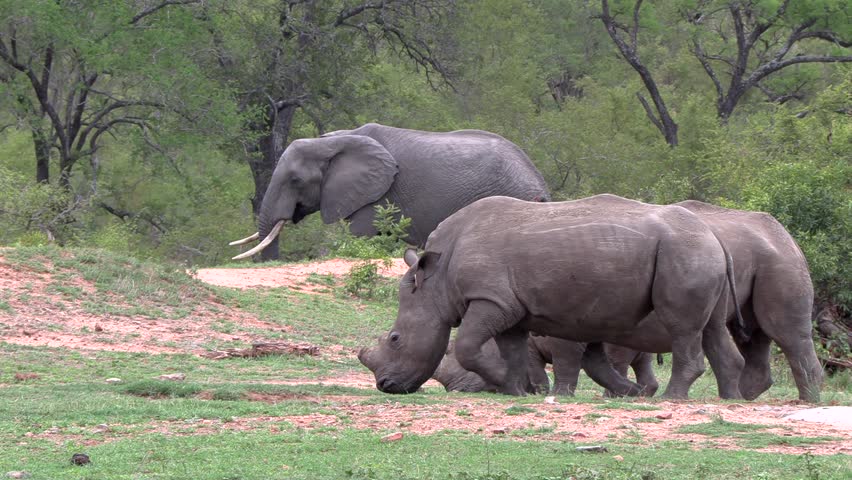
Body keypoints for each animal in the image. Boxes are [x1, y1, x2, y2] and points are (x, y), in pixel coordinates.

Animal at [359, 194, 746, 399]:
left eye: (395, 339)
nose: (386, 386)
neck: (436, 279)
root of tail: (715, 236)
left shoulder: (489, 298)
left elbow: (469, 345)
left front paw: (509, 385)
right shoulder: (509, 307)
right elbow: (514, 351)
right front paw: (517, 389)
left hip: (684, 252)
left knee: (683, 327)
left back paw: (671, 398)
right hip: (697, 255)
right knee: (711, 328)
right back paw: (730, 400)